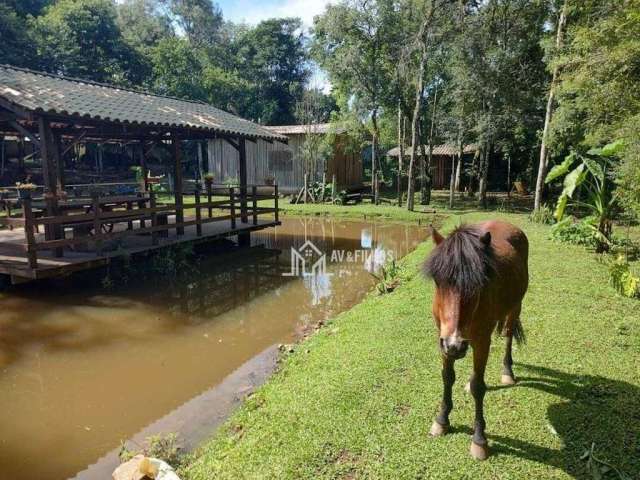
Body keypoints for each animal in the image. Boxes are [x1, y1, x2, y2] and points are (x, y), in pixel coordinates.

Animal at [424, 221, 528, 462]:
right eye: (438, 280)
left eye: (478, 283)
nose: (455, 345)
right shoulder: (442, 338)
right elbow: (447, 377)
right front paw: (442, 420)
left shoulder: (480, 341)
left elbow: (479, 387)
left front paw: (479, 440)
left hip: (515, 307)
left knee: (508, 335)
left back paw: (507, 371)